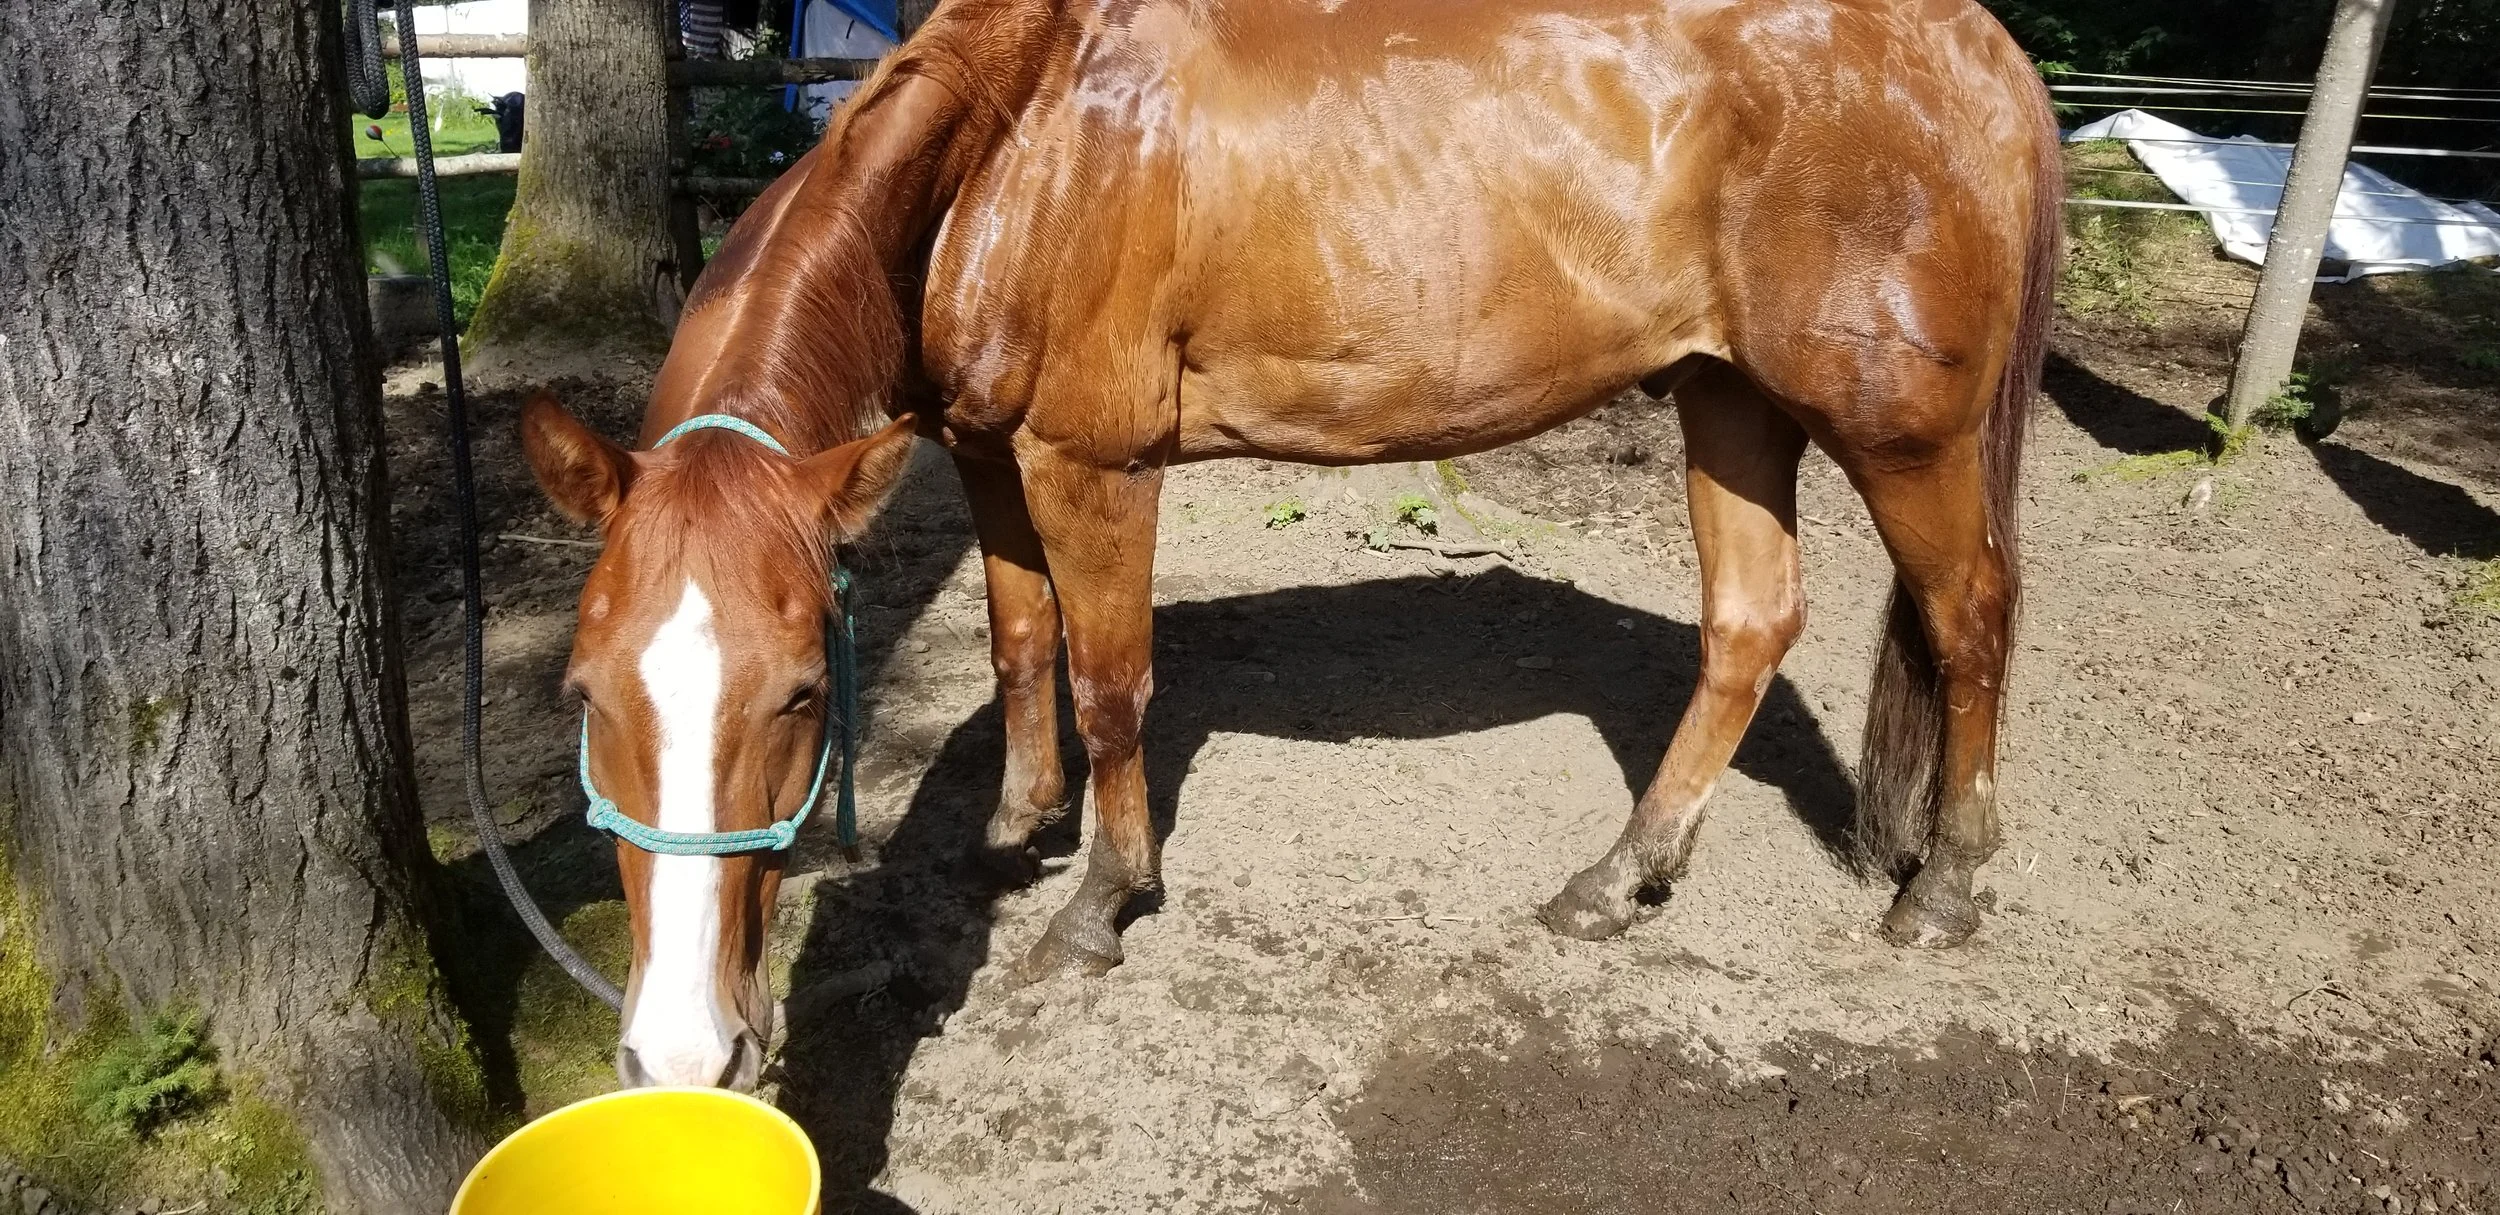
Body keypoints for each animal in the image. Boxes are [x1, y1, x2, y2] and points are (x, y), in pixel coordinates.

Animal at [520, 0, 2060, 1088]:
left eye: (798, 695)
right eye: (584, 694)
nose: (682, 1051)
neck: (1022, 132)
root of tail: (1971, 45)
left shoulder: (1092, 465)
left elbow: (1110, 685)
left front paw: (1100, 902)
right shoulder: (981, 455)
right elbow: (1021, 642)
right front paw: (1014, 829)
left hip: (1899, 434)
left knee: (1973, 615)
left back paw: (1948, 886)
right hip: (1727, 400)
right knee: (1751, 624)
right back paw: (1618, 879)